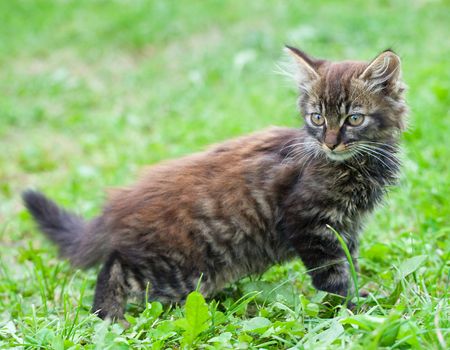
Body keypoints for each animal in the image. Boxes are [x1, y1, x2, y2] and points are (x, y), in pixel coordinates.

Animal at [22, 47, 408, 320]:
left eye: (353, 119)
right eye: (317, 118)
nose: (330, 143)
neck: (357, 163)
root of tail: (117, 208)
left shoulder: (346, 228)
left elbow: (350, 263)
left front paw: (360, 296)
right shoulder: (308, 223)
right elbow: (333, 275)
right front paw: (350, 310)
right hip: (178, 269)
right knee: (114, 267)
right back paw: (109, 318)